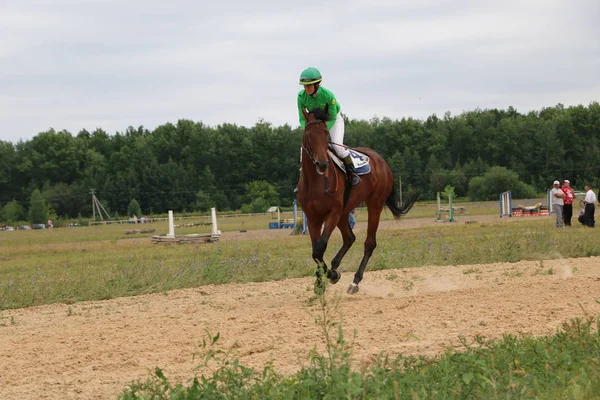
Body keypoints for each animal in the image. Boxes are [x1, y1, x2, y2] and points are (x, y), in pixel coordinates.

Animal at [298, 107, 420, 294]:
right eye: (309, 135)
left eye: (326, 133)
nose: (323, 164)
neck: (316, 181)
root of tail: (382, 161)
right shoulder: (312, 218)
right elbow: (316, 252)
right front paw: (321, 282)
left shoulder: (333, 213)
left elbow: (320, 248)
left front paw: (331, 276)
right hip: (345, 212)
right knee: (349, 238)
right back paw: (335, 266)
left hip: (374, 204)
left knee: (369, 243)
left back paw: (355, 281)